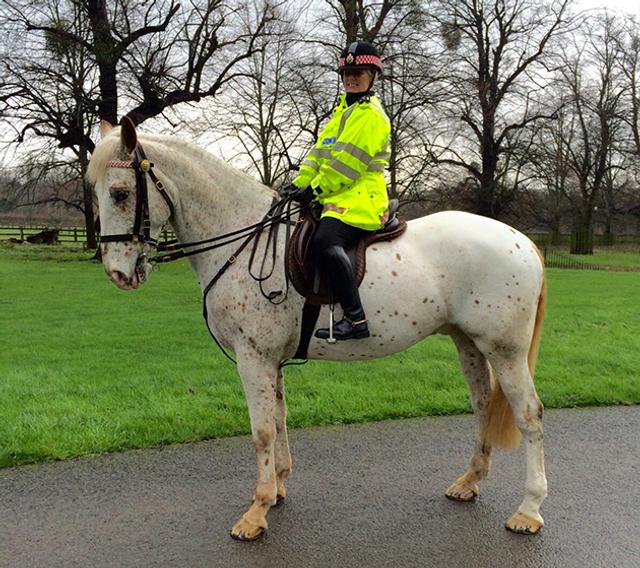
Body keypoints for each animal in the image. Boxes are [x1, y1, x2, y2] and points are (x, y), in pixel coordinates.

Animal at [87, 118, 548, 540]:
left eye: (120, 193)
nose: (118, 273)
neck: (240, 239)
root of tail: (521, 240)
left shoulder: (253, 358)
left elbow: (261, 431)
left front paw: (255, 513)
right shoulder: (270, 360)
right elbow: (280, 420)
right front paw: (277, 489)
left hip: (505, 350)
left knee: (529, 415)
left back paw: (528, 510)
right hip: (468, 343)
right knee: (483, 405)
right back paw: (470, 482)